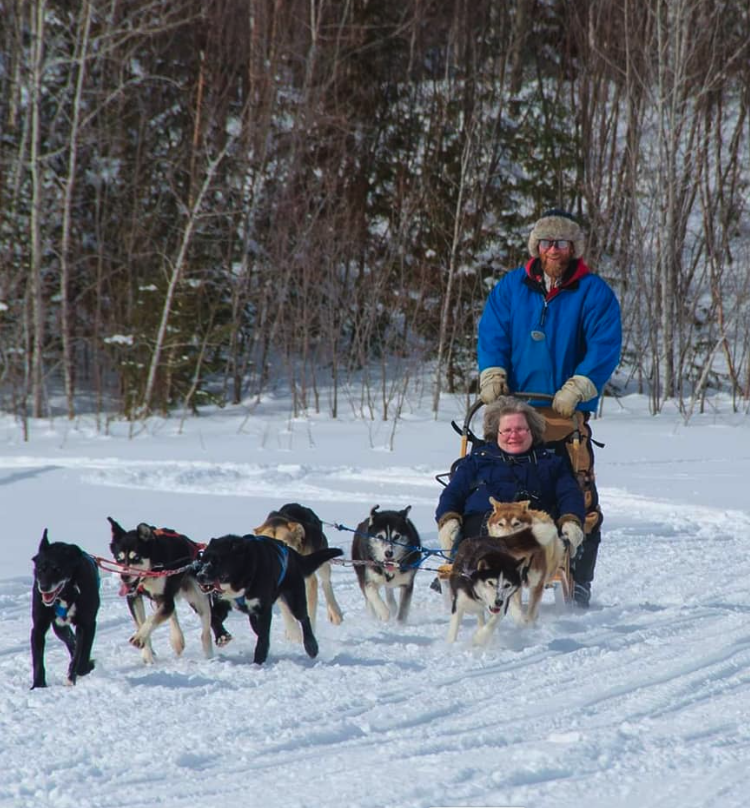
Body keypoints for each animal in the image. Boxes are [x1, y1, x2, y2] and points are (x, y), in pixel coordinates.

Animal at [30, 532, 100, 688]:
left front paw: (73, 675)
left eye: (57, 569)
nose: (43, 587)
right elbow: (38, 661)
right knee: (70, 641)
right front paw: (38, 685)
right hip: (59, 627)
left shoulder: (86, 624)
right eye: (40, 568)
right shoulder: (39, 627)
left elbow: (80, 654)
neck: (66, 594)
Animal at [195, 532, 346, 664]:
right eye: (202, 560)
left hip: (295, 598)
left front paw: (258, 661)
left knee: (304, 618)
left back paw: (311, 645)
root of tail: (292, 553)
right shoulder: (222, 603)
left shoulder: (264, 610)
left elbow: (263, 638)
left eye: (216, 561)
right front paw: (222, 636)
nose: (200, 576)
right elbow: (214, 618)